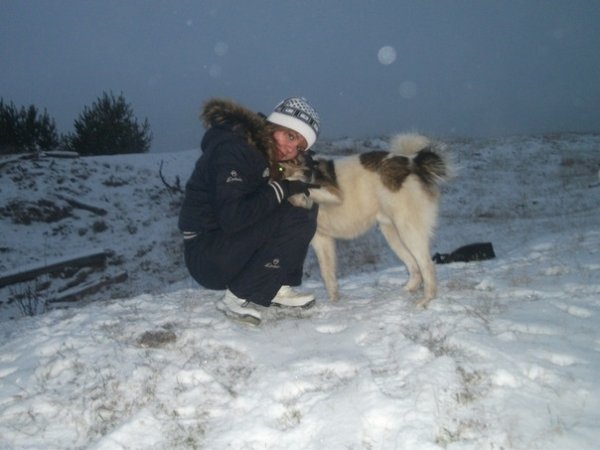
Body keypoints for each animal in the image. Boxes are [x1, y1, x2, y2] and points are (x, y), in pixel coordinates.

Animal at [280, 133, 452, 308]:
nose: (308, 173)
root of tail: (412, 162)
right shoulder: (321, 239)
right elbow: (327, 274)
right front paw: (334, 300)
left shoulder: (334, 194)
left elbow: (302, 189)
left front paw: (299, 196)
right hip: (393, 234)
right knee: (415, 266)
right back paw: (406, 290)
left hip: (408, 230)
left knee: (427, 265)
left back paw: (426, 300)